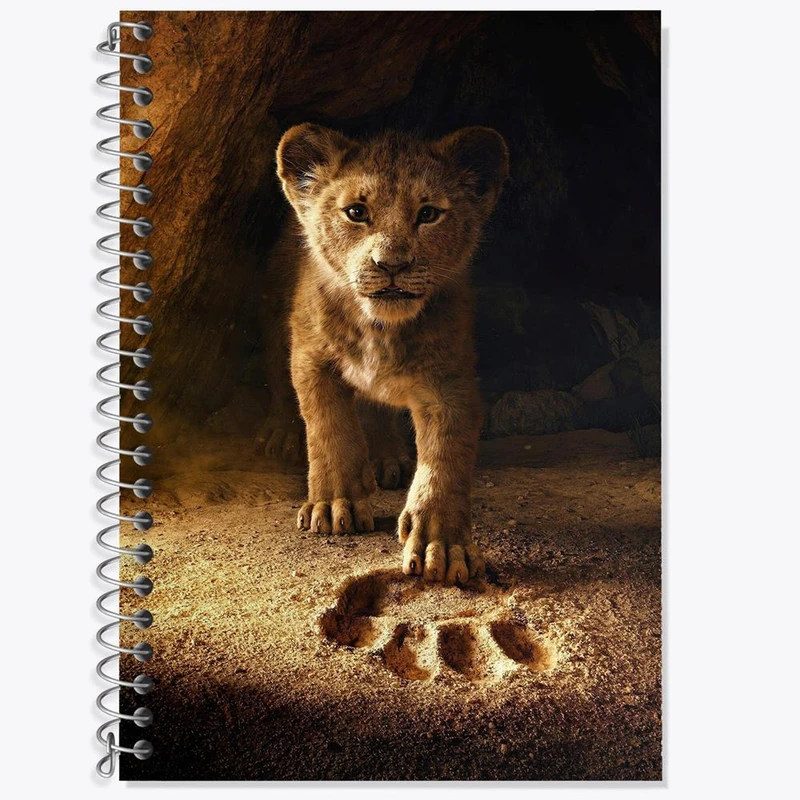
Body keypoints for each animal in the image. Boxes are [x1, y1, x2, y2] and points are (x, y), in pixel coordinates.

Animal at [264, 123, 508, 584]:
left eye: (428, 214)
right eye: (356, 212)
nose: (391, 264)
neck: (380, 328)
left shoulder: (450, 382)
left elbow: (445, 459)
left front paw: (442, 545)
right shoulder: (310, 357)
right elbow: (329, 427)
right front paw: (335, 504)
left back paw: (385, 457)